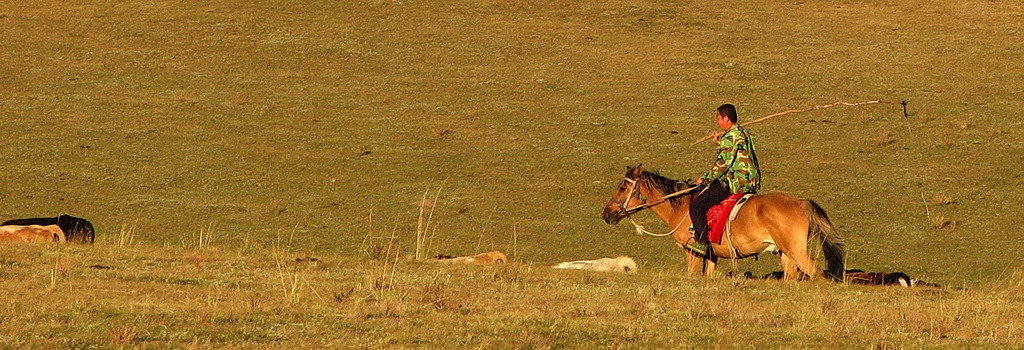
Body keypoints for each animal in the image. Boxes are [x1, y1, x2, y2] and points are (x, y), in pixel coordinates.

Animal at [598, 165, 843, 280]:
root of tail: (800, 202)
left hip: (797, 252)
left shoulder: (693, 251)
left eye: (622, 187)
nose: (606, 214)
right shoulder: (711, 255)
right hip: (786, 254)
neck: (682, 204)